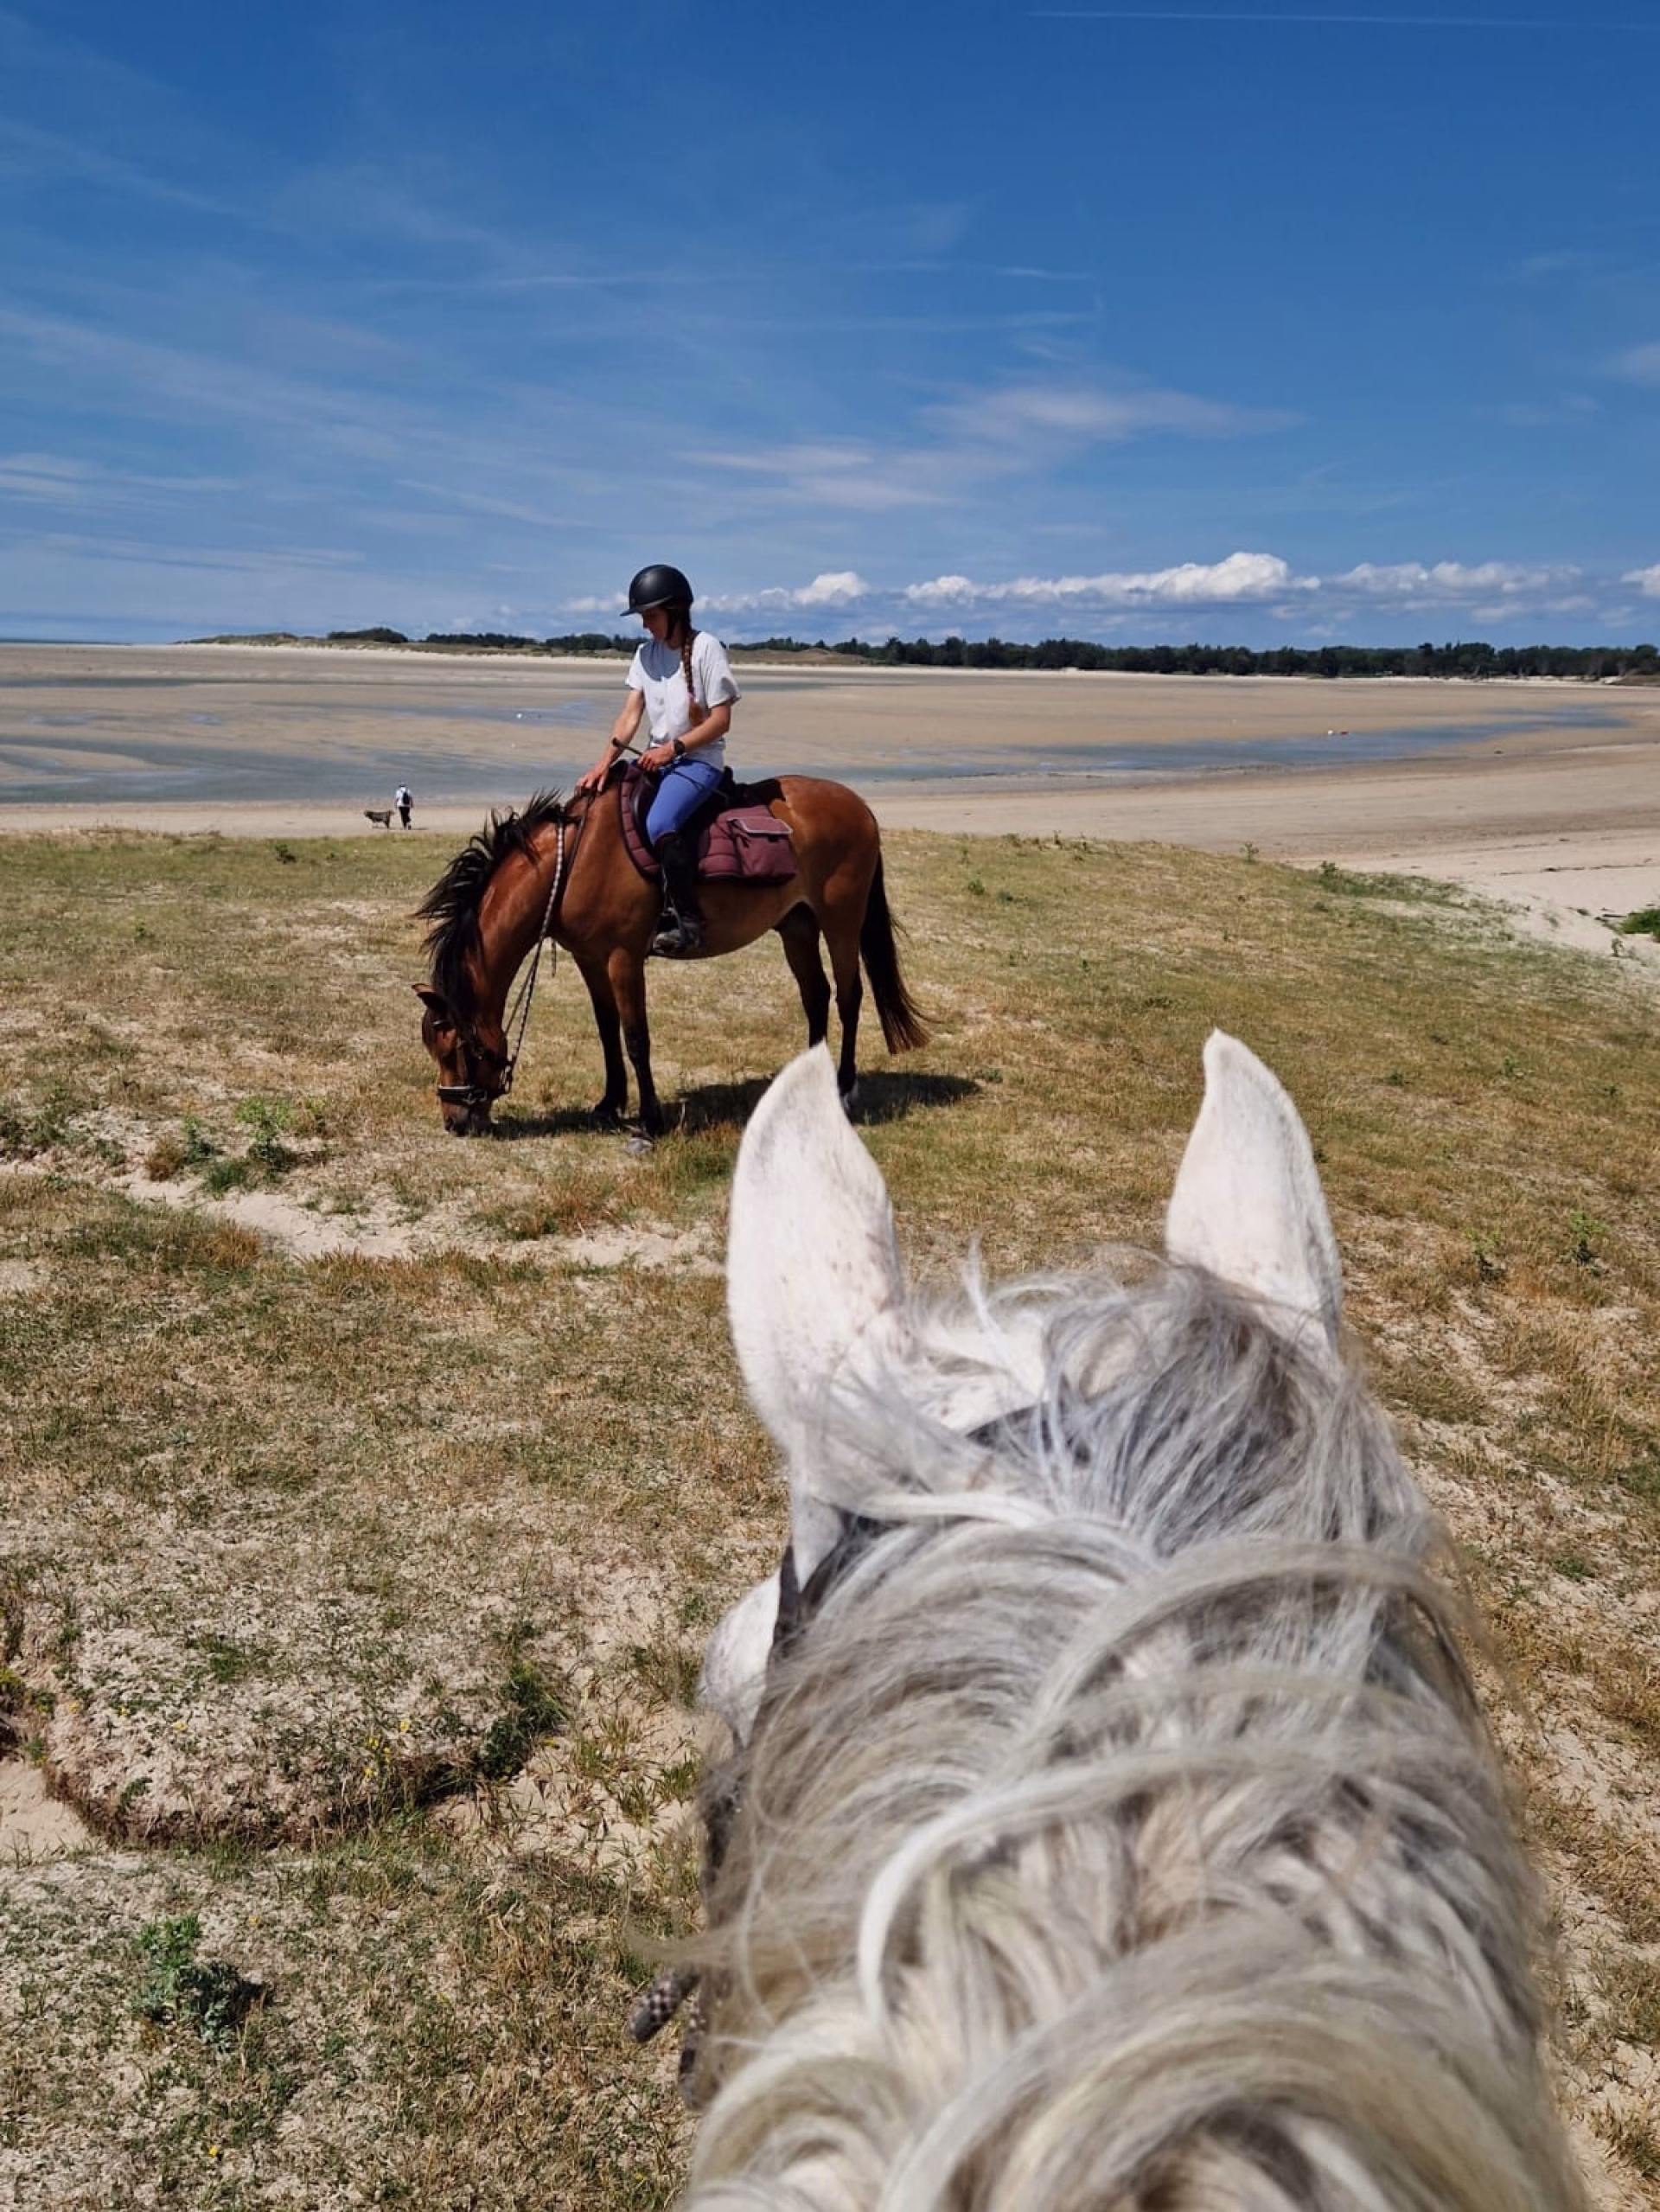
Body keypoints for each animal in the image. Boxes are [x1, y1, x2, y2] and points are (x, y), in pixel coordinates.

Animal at [414, 774, 927, 1137]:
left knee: (848, 996)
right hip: (797, 927)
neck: (574, 863)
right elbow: (607, 1031)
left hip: (841, 922)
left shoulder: (623, 959)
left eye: (455, 1049)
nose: (453, 1121)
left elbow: (636, 1038)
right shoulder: (590, 960)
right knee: (816, 996)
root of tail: (859, 806)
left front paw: (649, 1120)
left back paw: (842, 1086)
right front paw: (608, 1104)